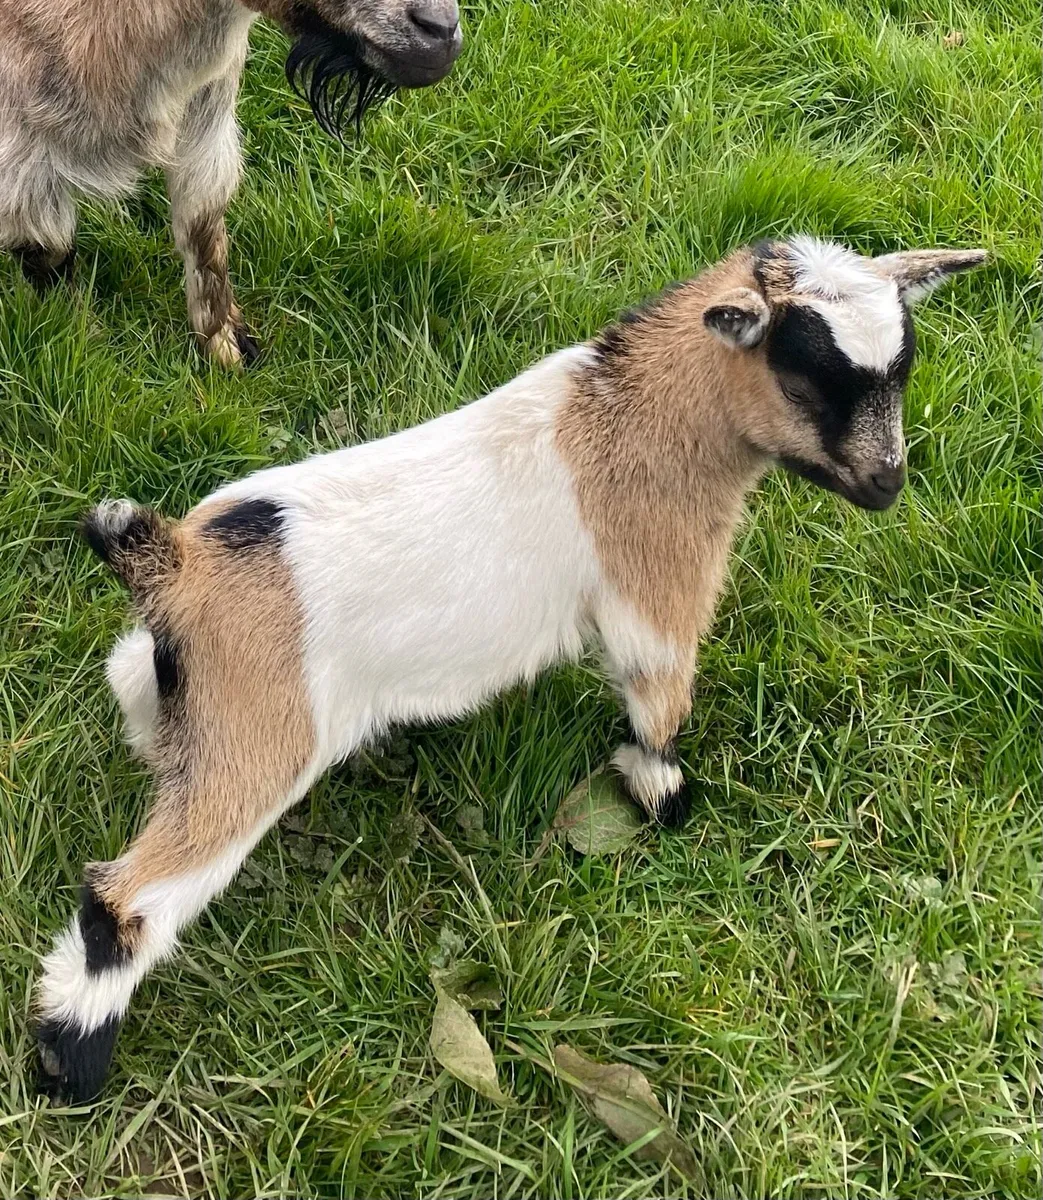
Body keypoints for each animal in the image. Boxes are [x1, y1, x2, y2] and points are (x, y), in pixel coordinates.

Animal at [0, 0, 462, 367]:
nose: (441, 31)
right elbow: (48, 244)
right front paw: (77, 330)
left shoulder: (207, 110)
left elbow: (203, 221)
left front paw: (227, 349)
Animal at [35, 237, 985, 1102]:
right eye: (806, 382)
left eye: (899, 373)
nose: (886, 484)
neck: (630, 417)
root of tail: (176, 565)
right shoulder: (658, 587)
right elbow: (657, 698)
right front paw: (664, 798)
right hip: (258, 741)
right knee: (128, 898)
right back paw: (71, 1061)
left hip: (180, 693)